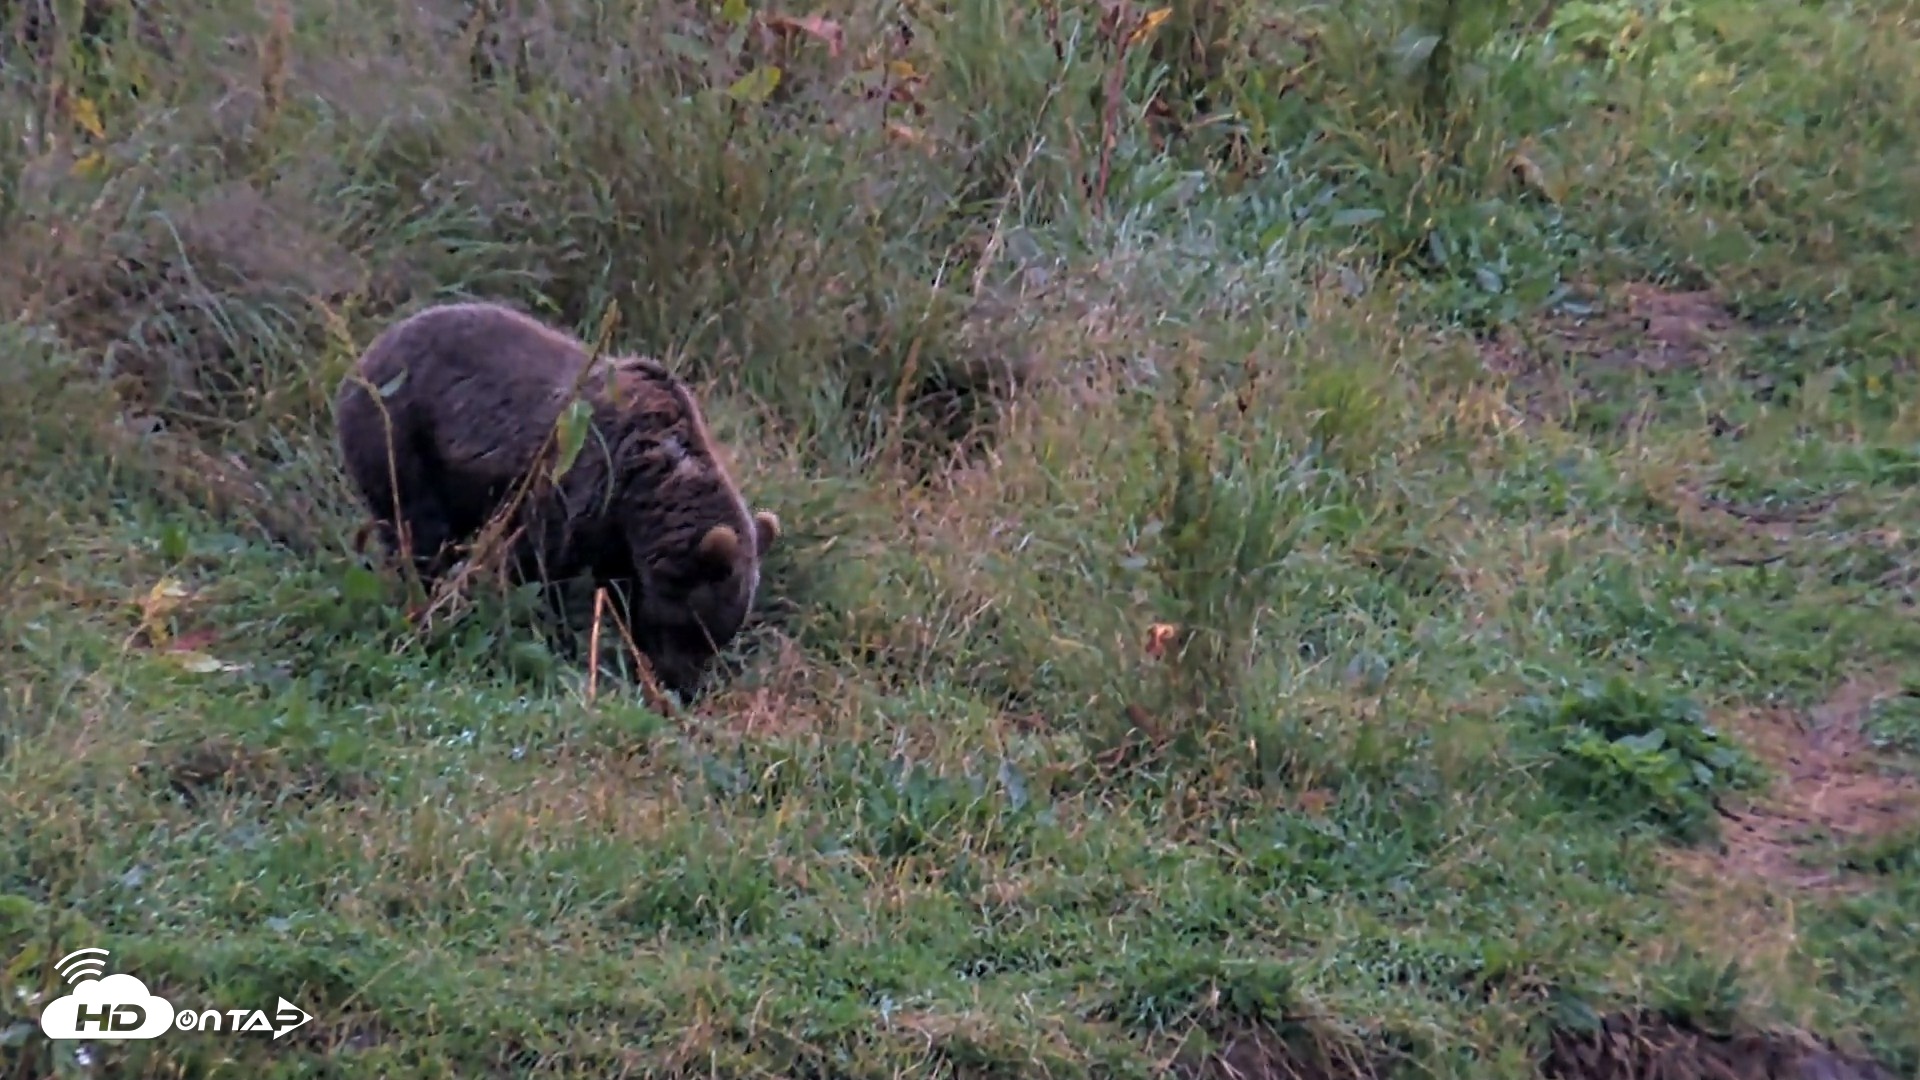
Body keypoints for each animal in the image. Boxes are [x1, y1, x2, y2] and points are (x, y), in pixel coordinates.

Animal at [332, 300, 780, 699]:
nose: (685, 687)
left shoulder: (616, 533)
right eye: (693, 630)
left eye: (717, 637)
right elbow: (540, 566)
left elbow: (616, 585)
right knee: (417, 528)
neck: (646, 484)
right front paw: (553, 635)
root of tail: (363, 359)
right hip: (403, 437)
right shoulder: (575, 481)